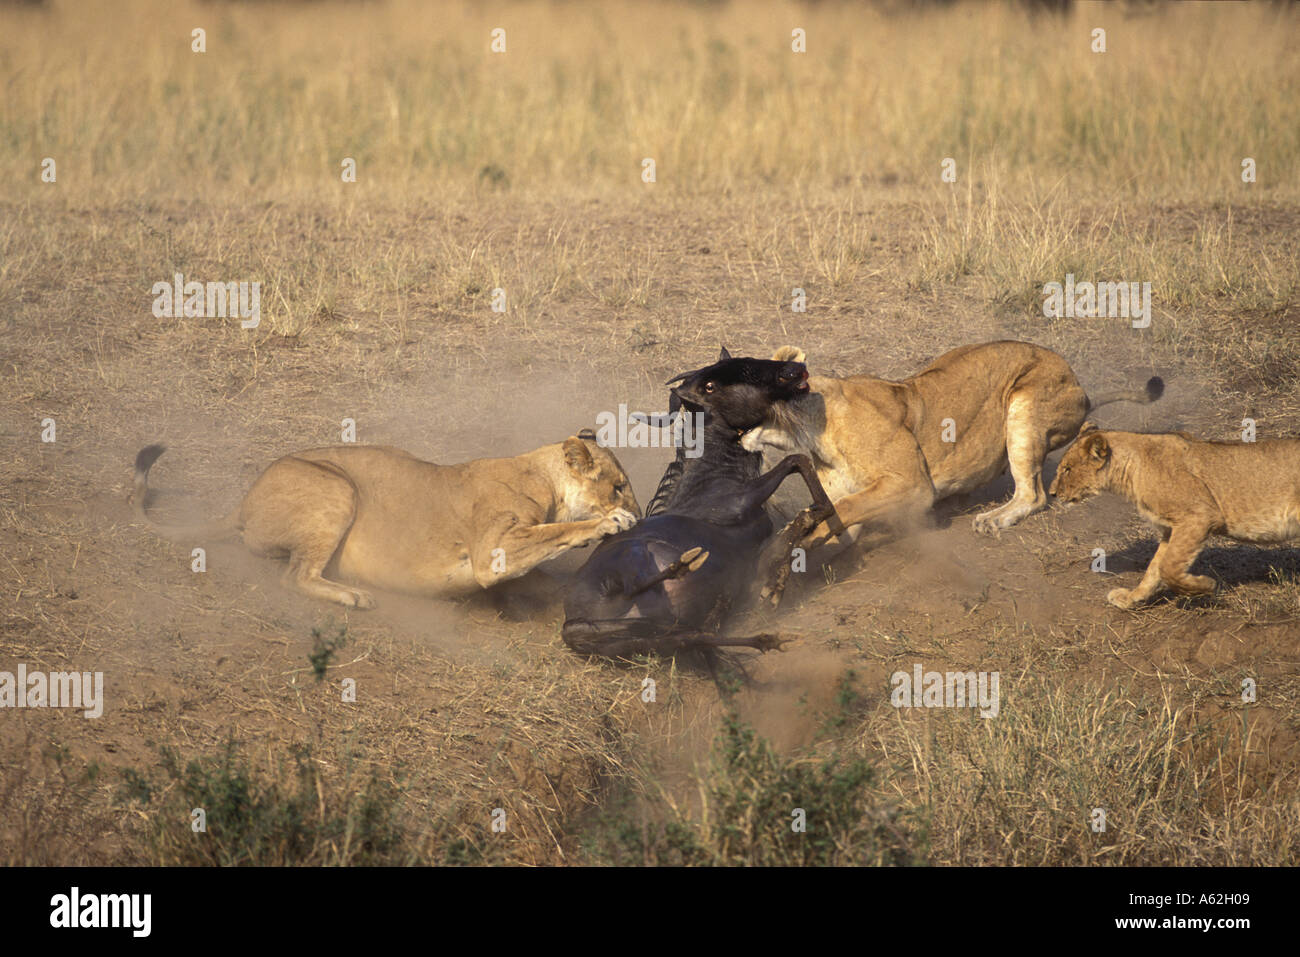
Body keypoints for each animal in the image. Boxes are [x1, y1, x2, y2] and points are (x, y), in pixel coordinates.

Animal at [130, 431, 640, 608]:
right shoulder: (492, 552)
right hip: (337, 488)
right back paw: (352, 596)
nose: (637, 510)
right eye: (619, 485)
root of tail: (242, 502)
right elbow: (560, 531)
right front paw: (610, 524)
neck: (544, 478)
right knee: (295, 576)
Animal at [740, 340, 1163, 556]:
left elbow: (844, 508)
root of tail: (1082, 387)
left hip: (1023, 408)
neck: (809, 430)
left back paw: (992, 519)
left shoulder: (912, 485)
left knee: (1034, 494)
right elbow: (838, 519)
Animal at [1049, 424, 1300, 608]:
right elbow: (1154, 568)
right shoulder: (1170, 529)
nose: (1052, 493)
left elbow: (1168, 567)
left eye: (1067, 469)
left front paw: (1205, 586)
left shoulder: (1199, 516)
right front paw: (1131, 598)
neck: (1131, 469)